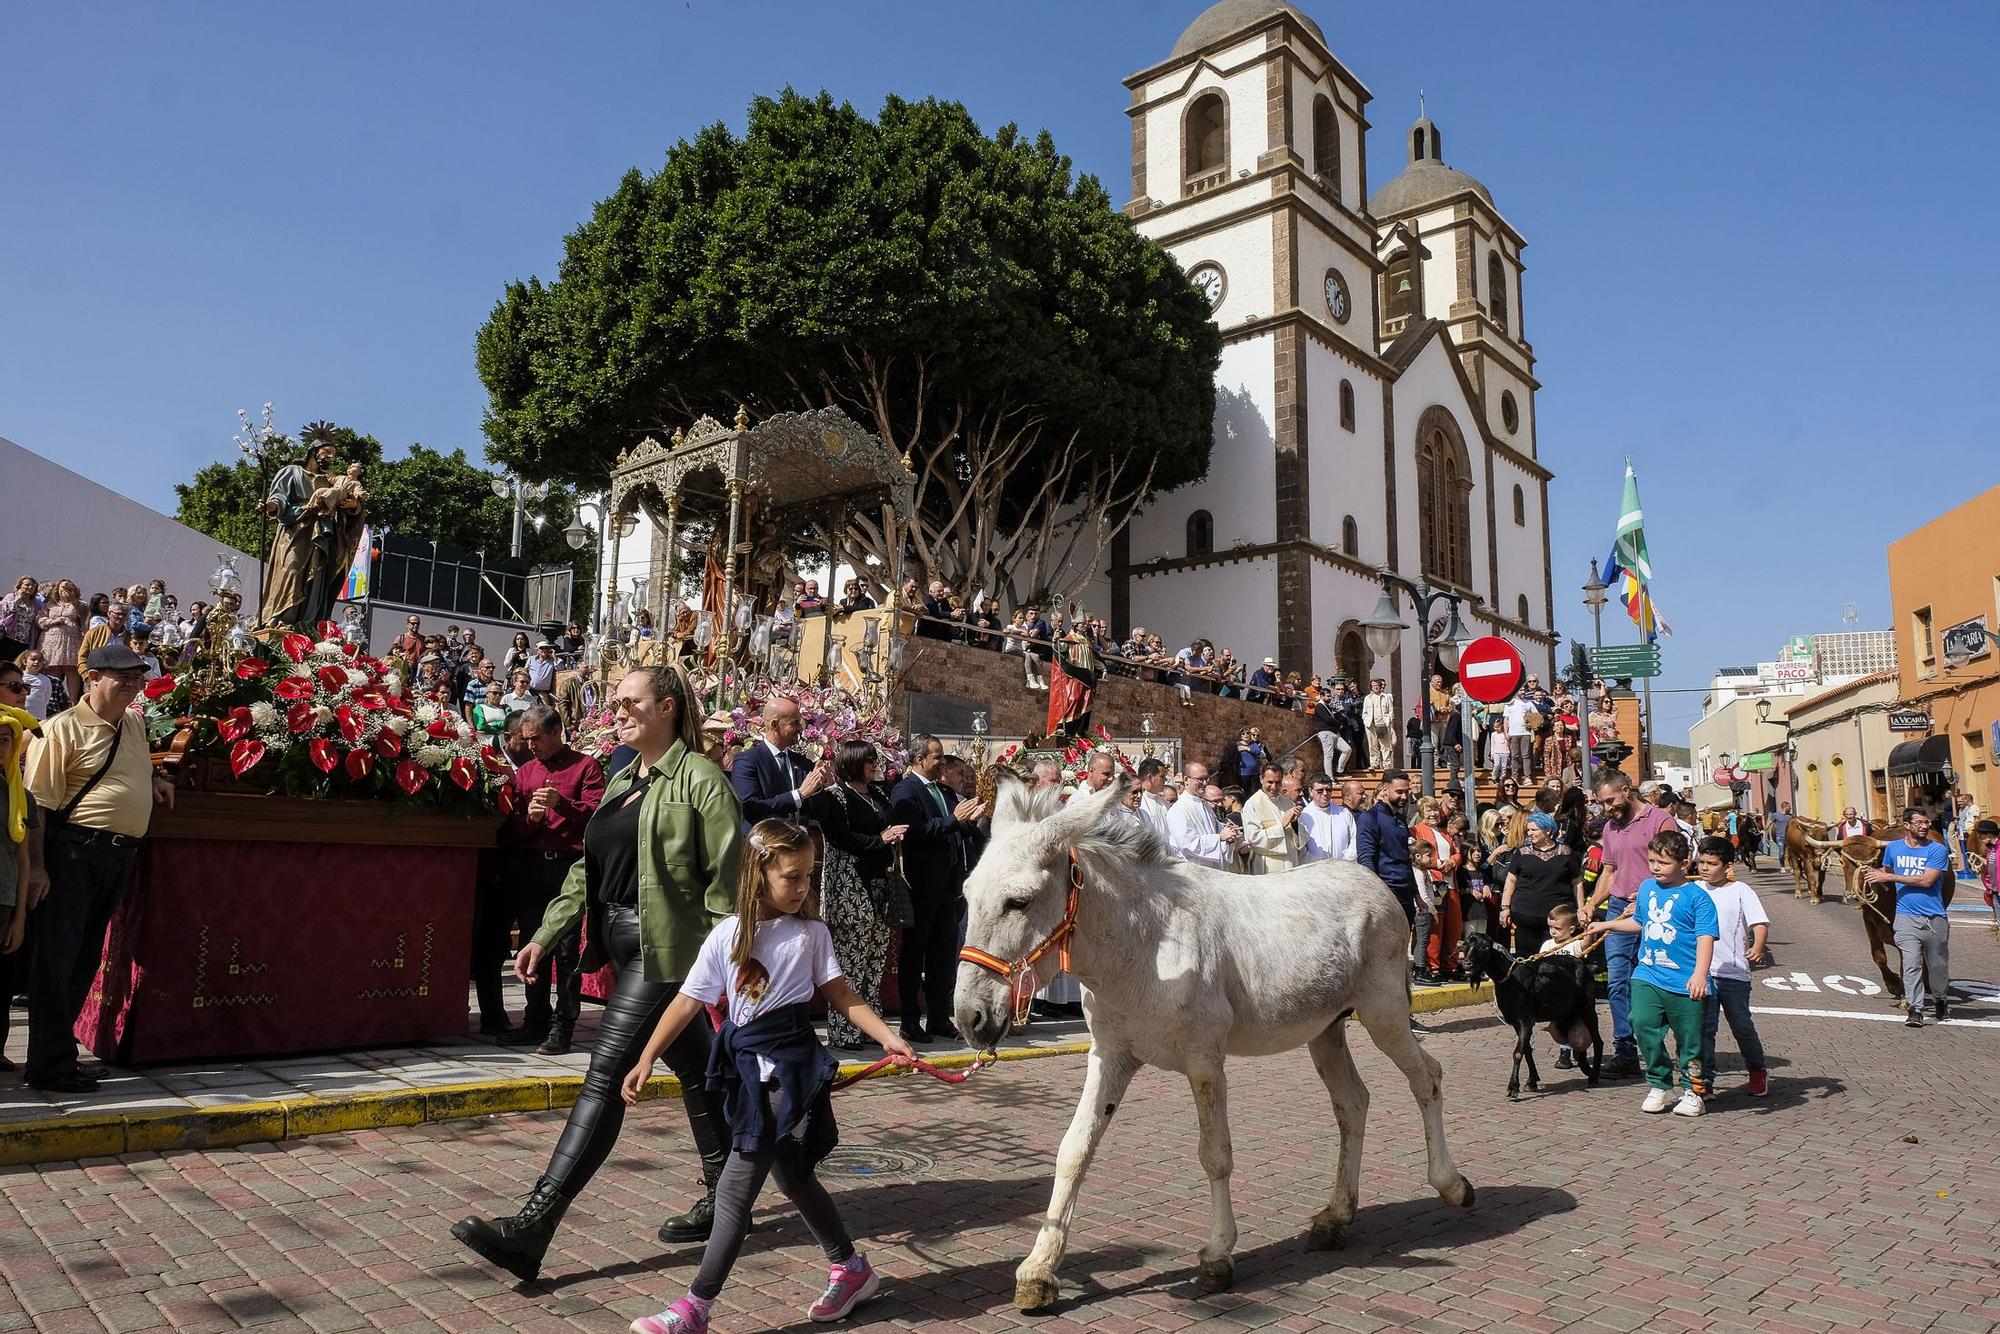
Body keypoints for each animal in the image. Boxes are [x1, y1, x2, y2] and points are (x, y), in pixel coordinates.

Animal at [1464, 936, 1600, 1104]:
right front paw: (1532, 1082)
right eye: (1465, 946)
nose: (1467, 964)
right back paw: (1585, 1067)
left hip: (1587, 1006)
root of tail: (1586, 967)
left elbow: (1517, 1052)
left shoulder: (1526, 1020)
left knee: (1598, 1040)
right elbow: (1526, 1050)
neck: (1511, 978)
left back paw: (1593, 1077)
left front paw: (1512, 1088)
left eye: (1485, 948)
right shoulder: (1516, 1023)